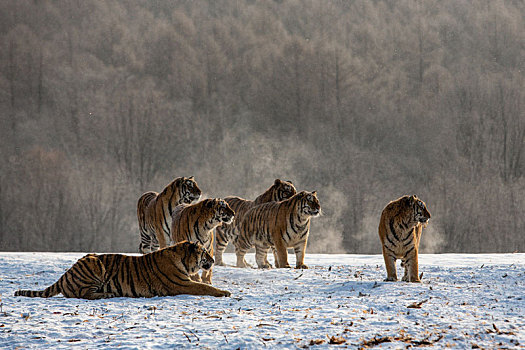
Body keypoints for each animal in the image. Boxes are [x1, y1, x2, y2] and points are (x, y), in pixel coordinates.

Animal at [13, 242, 229, 300]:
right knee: (83, 294)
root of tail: (66, 273)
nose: (213, 261)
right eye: (204, 253)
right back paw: (107, 294)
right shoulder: (182, 284)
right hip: (94, 264)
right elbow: (206, 288)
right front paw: (225, 292)